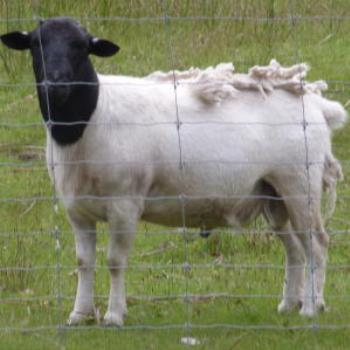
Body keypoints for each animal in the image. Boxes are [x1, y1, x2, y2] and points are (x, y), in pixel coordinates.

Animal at [0, 17, 348, 326]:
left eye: (82, 47)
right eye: (36, 44)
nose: (55, 85)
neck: (89, 119)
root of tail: (318, 106)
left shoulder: (125, 203)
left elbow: (115, 262)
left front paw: (114, 316)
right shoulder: (77, 209)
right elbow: (84, 263)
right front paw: (79, 315)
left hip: (299, 183)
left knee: (317, 243)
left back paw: (312, 307)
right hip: (272, 193)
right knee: (295, 249)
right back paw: (289, 304)